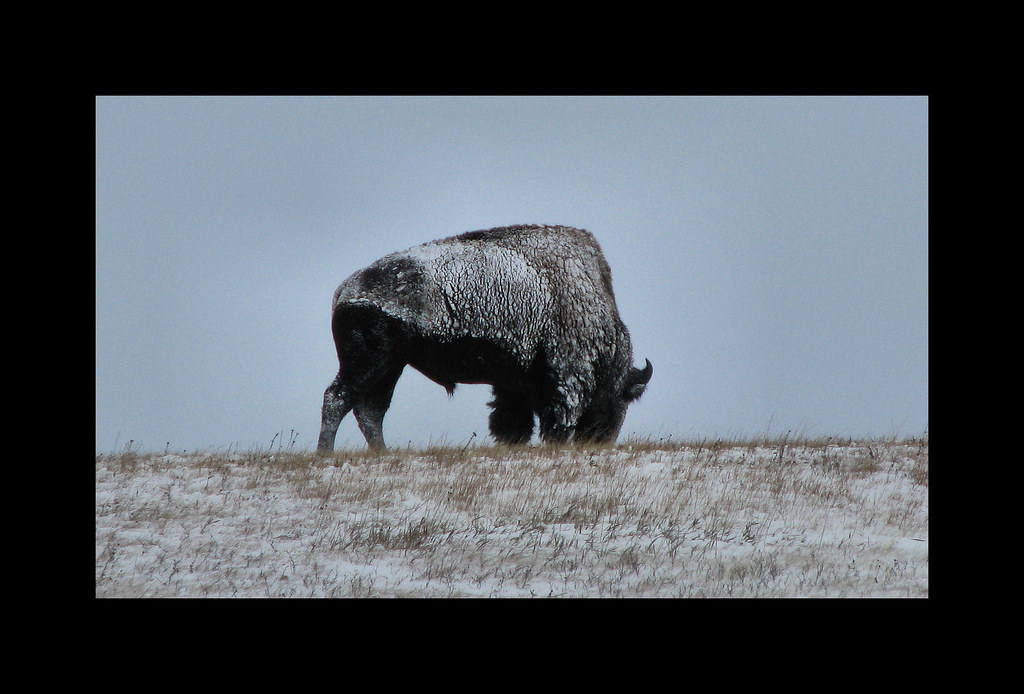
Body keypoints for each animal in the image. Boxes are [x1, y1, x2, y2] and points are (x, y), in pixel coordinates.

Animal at [316, 224, 652, 452]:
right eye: (622, 397)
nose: (604, 439)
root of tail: (346, 288)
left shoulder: (513, 385)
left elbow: (513, 422)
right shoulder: (565, 378)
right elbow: (556, 420)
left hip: (390, 366)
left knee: (370, 410)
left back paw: (381, 452)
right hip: (369, 362)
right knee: (338, 398)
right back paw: (325, 453)